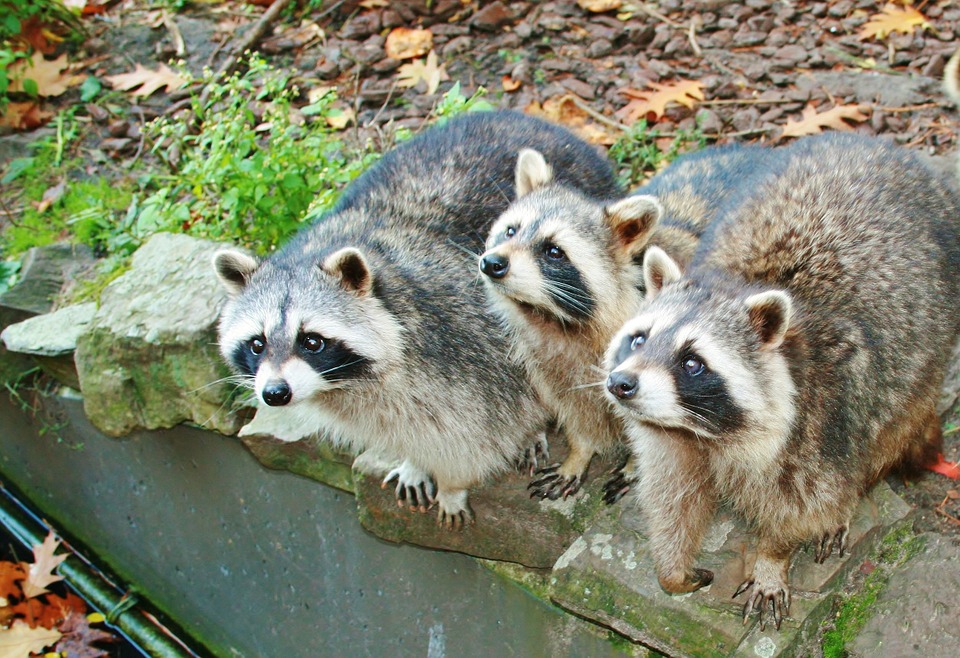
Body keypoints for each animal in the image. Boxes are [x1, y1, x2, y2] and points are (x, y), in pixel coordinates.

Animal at [210, 110, 624, 524]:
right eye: (257, 343)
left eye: (311, 341)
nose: (274, 393)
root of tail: (531, 117)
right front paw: (415, 461)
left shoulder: (463, 338)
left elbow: (478, 433)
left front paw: (453, 484)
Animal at [476, 142, 776, 498]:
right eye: (511, 230)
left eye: (553, 251)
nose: (492, 263)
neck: (556, 319)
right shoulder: (552, 365)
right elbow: (577, 411)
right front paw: (579, 453)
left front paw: (635, 464)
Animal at [604, 132, 960, 624]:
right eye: (638, 339)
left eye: (692, 363)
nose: (622, 384)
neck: (701, 428)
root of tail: (878, 144)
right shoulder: (673, 439)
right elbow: (675, 498)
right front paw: (673, 569)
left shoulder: (822, 419)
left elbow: (799, 507)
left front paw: (773, 557)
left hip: (922, 356)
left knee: (884, 433)